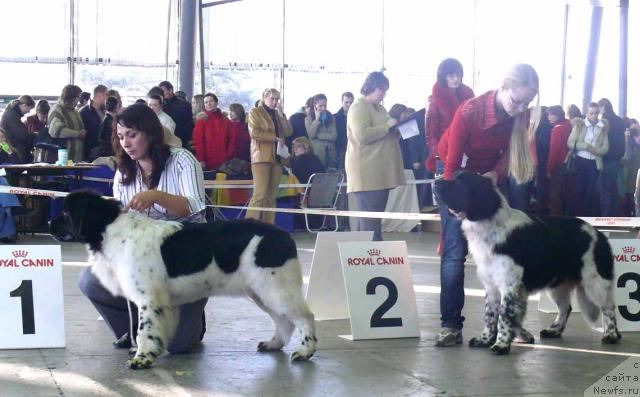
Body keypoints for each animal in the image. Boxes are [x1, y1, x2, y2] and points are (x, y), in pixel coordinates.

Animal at [58, 190, 316, 366]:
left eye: (65, 213)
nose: (52, 223)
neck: (110, 229)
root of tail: (284, 235)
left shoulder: (148, 299)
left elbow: (144, 330)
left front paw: (142, 359)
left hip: (275, 287)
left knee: (304, 317)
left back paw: (305, 351)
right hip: (263, 291)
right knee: (284, 320)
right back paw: (273, 344)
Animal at [436, 172, 620, 354]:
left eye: (461, 182)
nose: (437, 182)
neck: (490, 226)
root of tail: (599, 234)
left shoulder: (509, 285)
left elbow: (504, 316)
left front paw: (501, 344)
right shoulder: (491, 286)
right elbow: (490, 315)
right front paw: (485, 339)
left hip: (595, 282)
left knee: (608, 307)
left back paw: (611, 334)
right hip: (558, 286)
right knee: (565, 308)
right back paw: (554, 330)